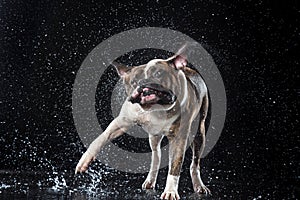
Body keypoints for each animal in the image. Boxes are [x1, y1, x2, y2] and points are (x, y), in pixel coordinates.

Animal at [75, 46, 211, 199]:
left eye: (158, 74)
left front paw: (170, 191)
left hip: (199, 133)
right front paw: (85, 160)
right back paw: (150, 180)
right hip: (154, 137)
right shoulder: (121, 122)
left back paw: (199, 185)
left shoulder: (179, 138)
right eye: (134, 81)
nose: (144, 84)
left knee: (195, 163)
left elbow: (174, 166)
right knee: (156, 155)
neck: (154, 109)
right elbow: (101, 138)